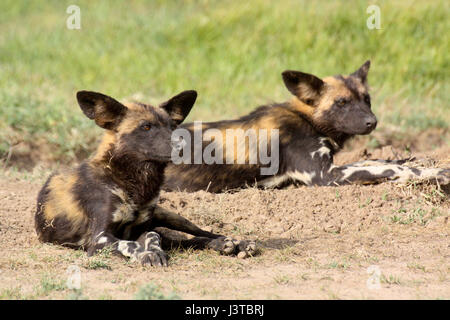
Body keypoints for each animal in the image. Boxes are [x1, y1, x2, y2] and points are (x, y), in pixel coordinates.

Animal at [35, 89, 256, 264]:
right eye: (146, 127)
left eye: (172, 127)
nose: (182, 145)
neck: (136, 183)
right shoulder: (99, 238)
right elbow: (130, 244)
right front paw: (146, 254)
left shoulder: (141, 228)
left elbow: (152, 235)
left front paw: (153, 251)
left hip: (170, 216)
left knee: (198, 234)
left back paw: (235, 243)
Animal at [163, 61, 448, 194]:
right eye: (341, 103)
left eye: (366, 99)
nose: (372, 122)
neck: (308, 120)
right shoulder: (325, 175)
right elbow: (388, 168)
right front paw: (434, 173)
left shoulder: (332, 167)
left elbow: (378, 160)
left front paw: (419, 160)